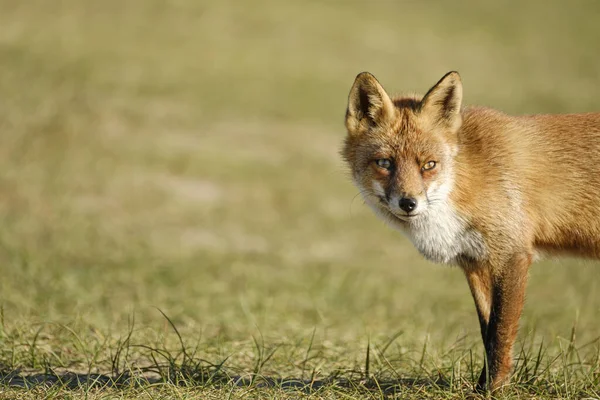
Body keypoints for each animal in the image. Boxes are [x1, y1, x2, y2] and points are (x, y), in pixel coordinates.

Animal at [342, 71, 600, 390]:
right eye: (384, 163)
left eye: (429, 165)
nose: (408, 203)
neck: (462, 184)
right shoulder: (475, 263)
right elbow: (487, 332)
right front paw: (483, 386)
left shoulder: (512, 254)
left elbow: (500, 333)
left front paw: (492, 390)